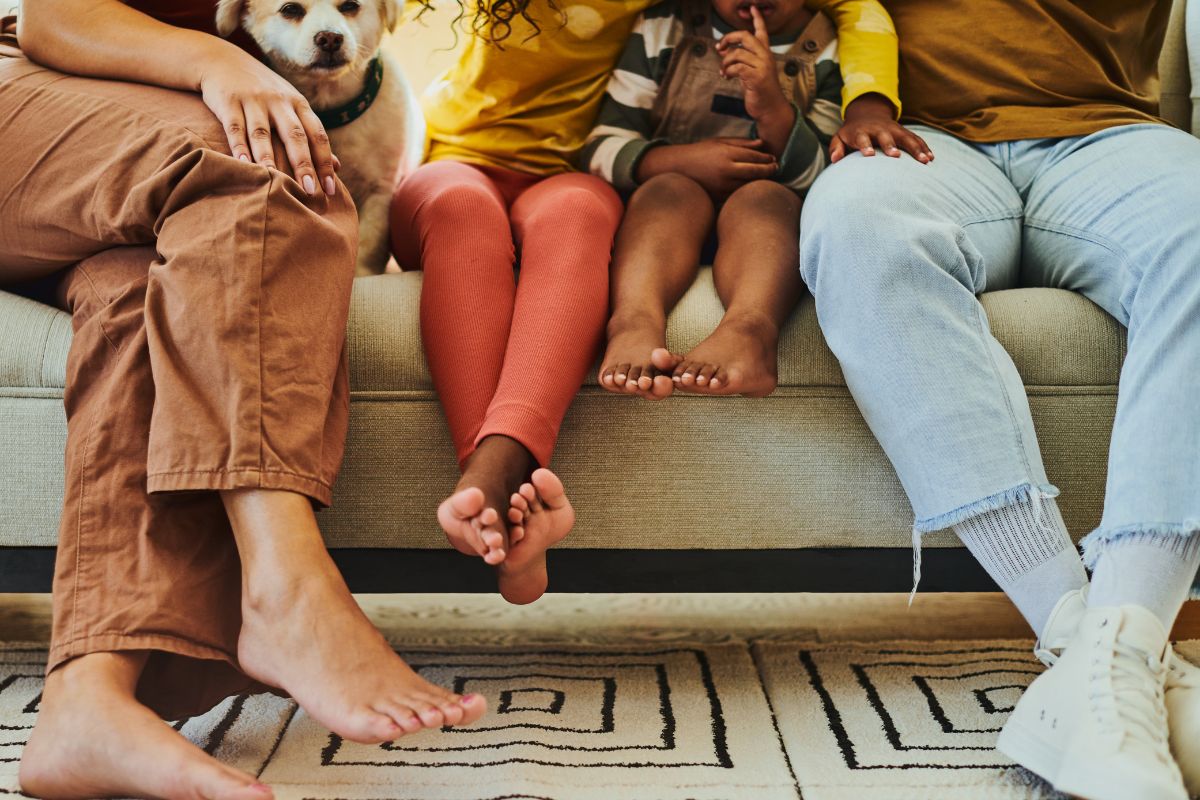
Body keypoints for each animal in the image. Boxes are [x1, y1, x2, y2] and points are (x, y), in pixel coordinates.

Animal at [218, 0, 424, 275]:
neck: (334, 113)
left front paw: (361, 272)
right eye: (290, 9)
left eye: (350, 6)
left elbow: (369, 242)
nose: (330, 38)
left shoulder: (381, 191)